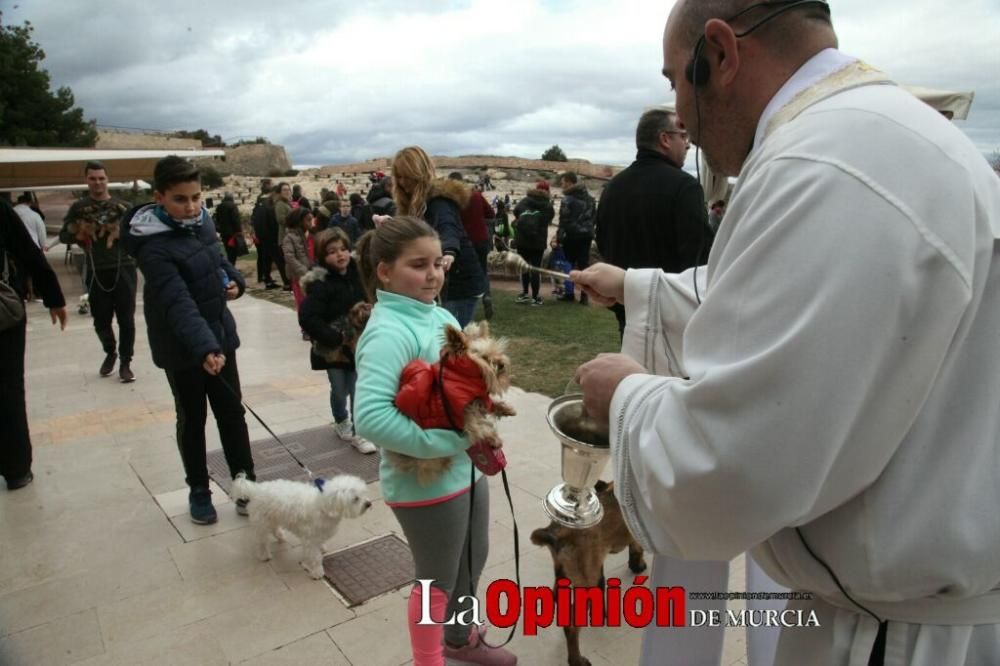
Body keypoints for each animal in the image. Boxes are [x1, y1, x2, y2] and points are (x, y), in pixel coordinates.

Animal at [232, 472, 374, 576]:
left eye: (363, 493)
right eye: (355, 499)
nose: (369, 503)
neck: (323, 506)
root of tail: (256, 490)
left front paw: (322, 548)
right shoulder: (310, 539)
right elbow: (314, 556)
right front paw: (316, 571)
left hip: (272, 517)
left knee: (274, 528)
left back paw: (280, 536)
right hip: (261, 522)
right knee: (261, 541)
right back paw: (264, 555)